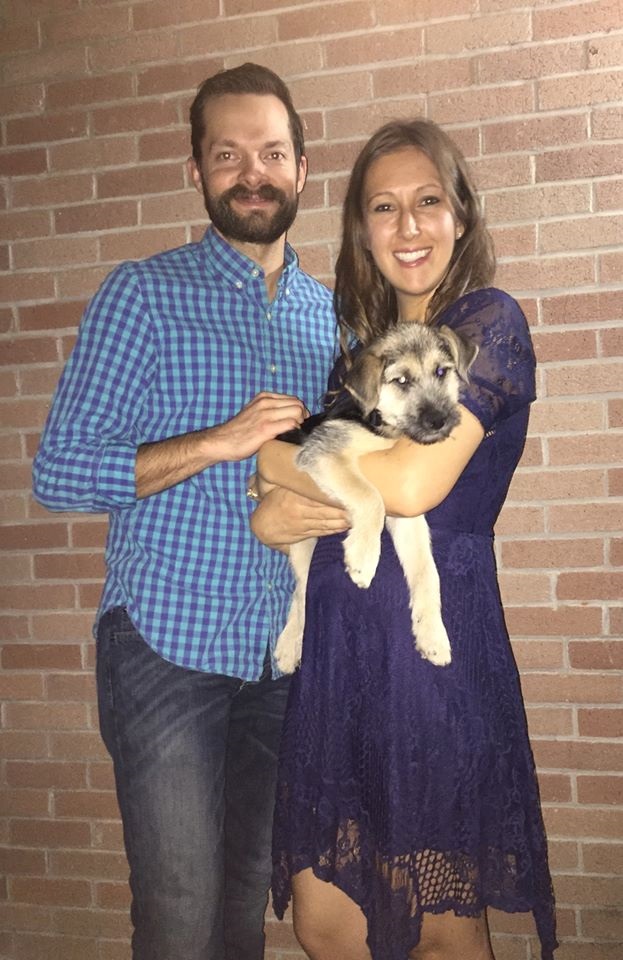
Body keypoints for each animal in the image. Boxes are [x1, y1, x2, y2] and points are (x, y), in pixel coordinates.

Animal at [272, 322, 477, 674]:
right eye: (401, 381)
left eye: (441, 371)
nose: (438, 421)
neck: (385, 427)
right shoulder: (323, 454)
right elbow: (369, 496)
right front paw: (363, 558)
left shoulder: (406, 512)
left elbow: (427, 571)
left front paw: (432, 634)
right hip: (302, 541)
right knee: (300, 591)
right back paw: (288, 647)